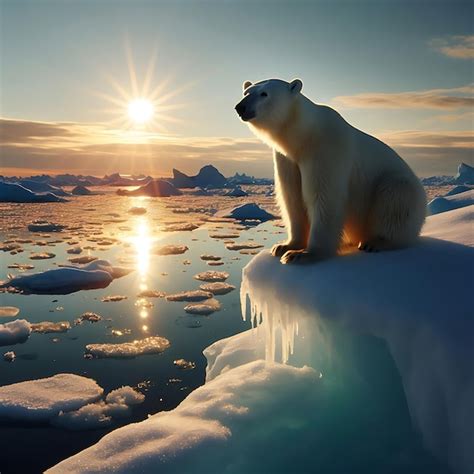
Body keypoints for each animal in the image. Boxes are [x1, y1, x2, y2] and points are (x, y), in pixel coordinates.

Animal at [235, 78, 428, 262]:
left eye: (264, 94)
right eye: (246, 92)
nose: (240, 107)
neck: (305, 135)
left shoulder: (326, 149)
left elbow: (323, 196)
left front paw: (303, 254)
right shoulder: (287, 158)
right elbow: (292, 197)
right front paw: (284, 246)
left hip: (399, 187)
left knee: (396, 195)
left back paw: (376, 242)